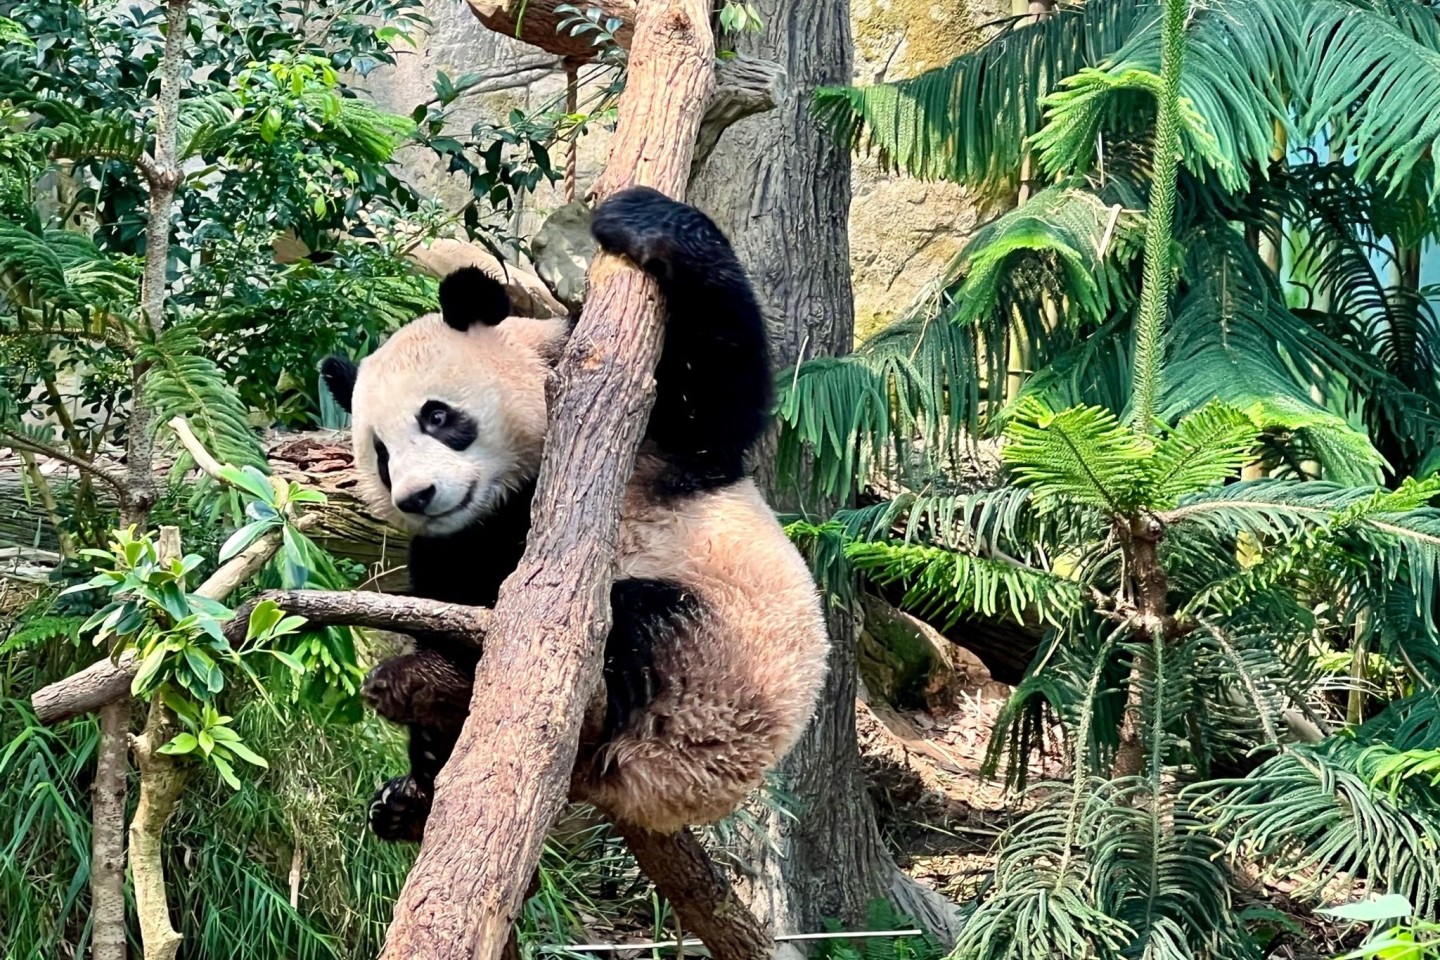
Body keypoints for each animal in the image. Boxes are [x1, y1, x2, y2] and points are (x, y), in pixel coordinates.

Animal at [319, 187, 829, 840]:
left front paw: (639, 219)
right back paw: (412, 785)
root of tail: (659, 795)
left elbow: (721, 397)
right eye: (380, 454)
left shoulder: (653, 437)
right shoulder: (476, 531)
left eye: (436, 416)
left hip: (720, 672)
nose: (418, 497)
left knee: (634, 628)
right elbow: (447, 565)